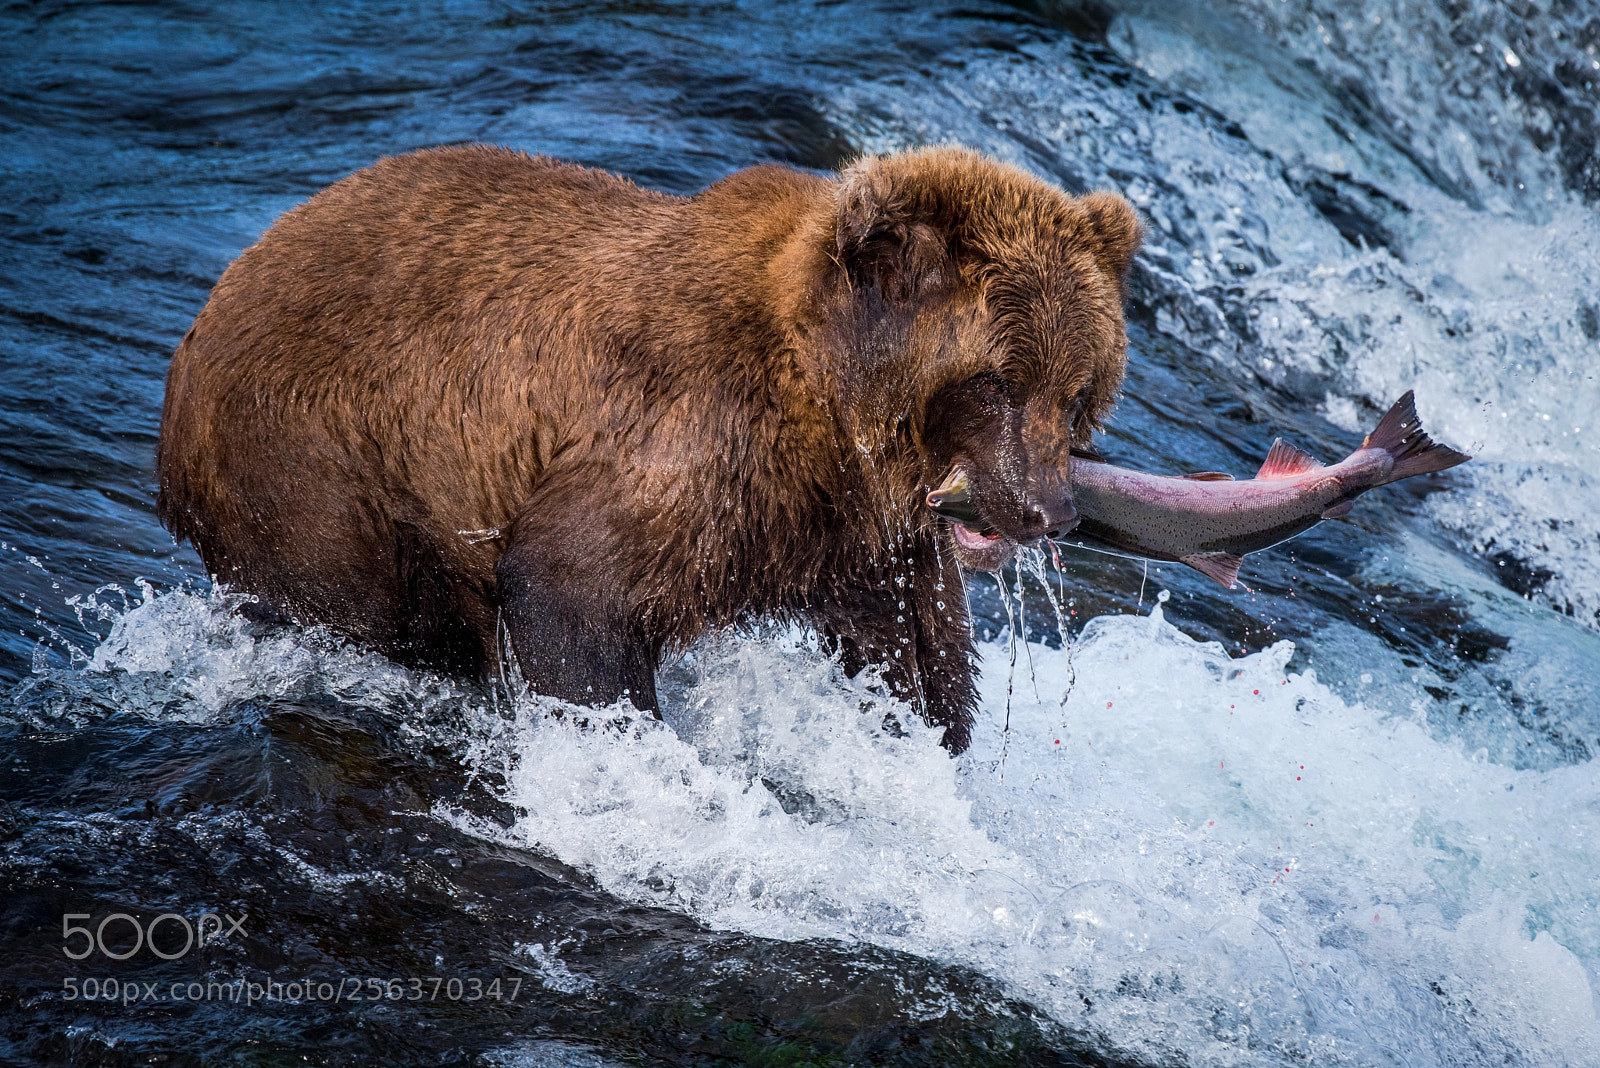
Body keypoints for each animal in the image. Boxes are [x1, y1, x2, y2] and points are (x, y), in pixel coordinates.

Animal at [157, 145, 1140, 753]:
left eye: (1078, 387)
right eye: (997, 380)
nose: (1048, 511)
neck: (831, 411)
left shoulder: (843, 530)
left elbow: (916, 648)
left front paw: (925, 736)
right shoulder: (692, 440)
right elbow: (570, 588)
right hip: (321, 462)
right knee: (372, 601)